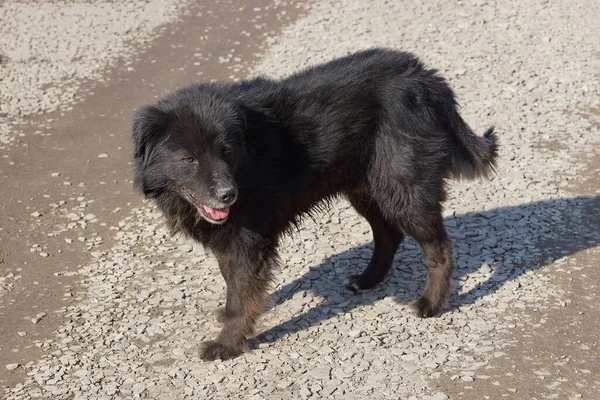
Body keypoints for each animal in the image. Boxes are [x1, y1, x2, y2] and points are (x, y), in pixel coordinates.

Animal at [134, 48, 500, 360]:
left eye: (226, 152)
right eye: (189, 159)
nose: (228, 195)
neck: (246, 160)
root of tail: (423, 75)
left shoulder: (248, 242)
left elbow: (240, 296)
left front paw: (227, 344)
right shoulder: (234, 239)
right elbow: (234, 286)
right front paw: (228, 319)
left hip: (404, 189)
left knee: (439, 248)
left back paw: (431, 304)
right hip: (366, 189)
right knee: (389, 236)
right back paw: (367, 280)